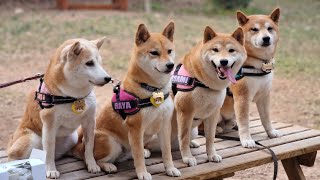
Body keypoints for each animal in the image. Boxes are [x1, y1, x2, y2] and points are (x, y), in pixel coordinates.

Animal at [7, 37, 111, 179]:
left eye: (100, 63)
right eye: (89, 63)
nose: (108, 78)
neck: (73, 97)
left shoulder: (89, 121)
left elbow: (89, 146)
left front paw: (92, 165)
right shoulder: (49, 125)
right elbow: (49, 151)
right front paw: (51, 170)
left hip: (72, 138)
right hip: (31, 140)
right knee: (12, 157)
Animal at [73, 22, 181, 180]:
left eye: (170, 51)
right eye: (154, 53)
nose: (170, 65)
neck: (154, 90)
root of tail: (78, 147)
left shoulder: (165, 126)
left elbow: (166, 152)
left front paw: (170, 169)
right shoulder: (135, 128)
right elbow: (139, 156)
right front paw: (142, 173)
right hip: (111, 143)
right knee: (96, 160)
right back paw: (108, 166)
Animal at [174, 26, 246, 166]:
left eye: (231, 50)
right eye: (215, 49)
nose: (224, 61)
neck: (205, 84)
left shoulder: (213, 114)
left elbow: (210, 139)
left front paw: (212, 155)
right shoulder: (185, 113)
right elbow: (183, 138)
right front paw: (187, 158)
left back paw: (193, 143)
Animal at [230, 8, 282, 148]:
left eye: (269, 28)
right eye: (254, 29)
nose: (266, 38)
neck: (259, 62)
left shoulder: (264, 96)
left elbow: (266, 118)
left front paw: (271, 132)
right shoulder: (242, 97)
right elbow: (244, 122)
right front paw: (246, 139)